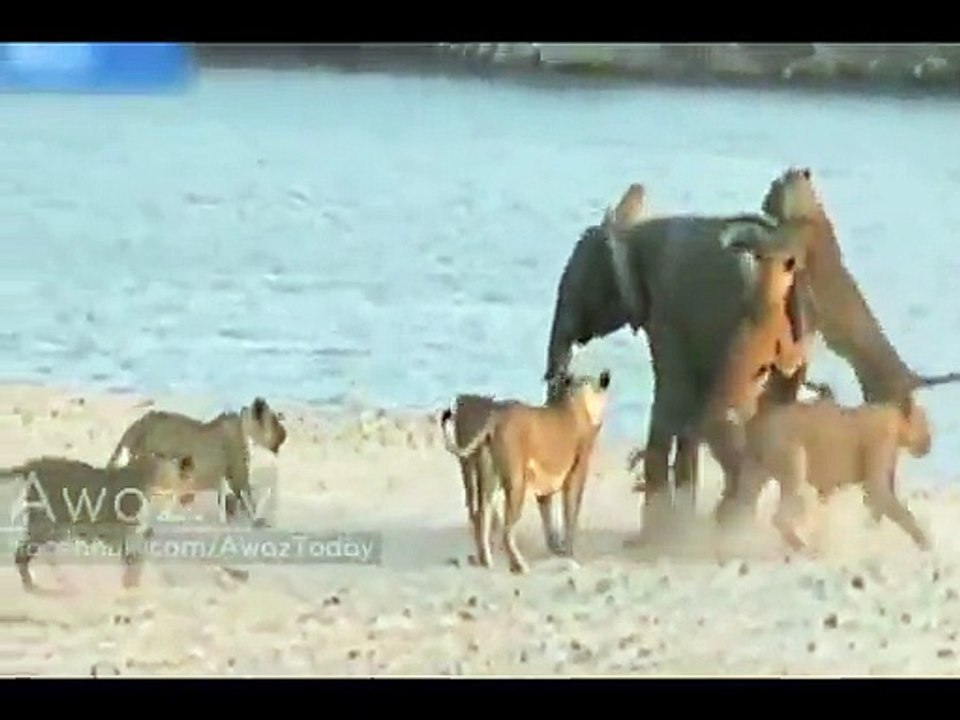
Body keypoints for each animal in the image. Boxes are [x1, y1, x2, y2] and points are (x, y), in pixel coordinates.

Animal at [1, 453, 196, 591]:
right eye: (180, 475)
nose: (189, 496)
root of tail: (32, 464)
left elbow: (133, 561)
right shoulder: (122, 533)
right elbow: (131, 561)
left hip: (53, 529)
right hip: (46, 526)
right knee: (21, 554)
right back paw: (31, 585)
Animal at [106, 397, 286, 525]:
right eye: (275, 421)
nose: (285, 433)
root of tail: (135, 426)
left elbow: (227, 496)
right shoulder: (238, 469)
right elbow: (246, 494)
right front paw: (255, 517)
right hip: (163, 467)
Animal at [442, 370, 611, 574]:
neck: (576, 397)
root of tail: (496, 417)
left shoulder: (544, 487)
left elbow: (548, 517)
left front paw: (556, 549)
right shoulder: (576, 474)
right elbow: (570, 515)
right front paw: (569, 554)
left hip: (488, 479)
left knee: (482, 515)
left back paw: (486, 561)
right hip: (516, 482)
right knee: (506, 530)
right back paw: (519, 565)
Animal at [743, 392, 933, 552]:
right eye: (925, 422)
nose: (928, 444)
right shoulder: (879, 442)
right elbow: (878, 492)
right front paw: (925, 543)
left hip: (755, 467)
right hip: (789, 453)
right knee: (781, 511)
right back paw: (801, 546)